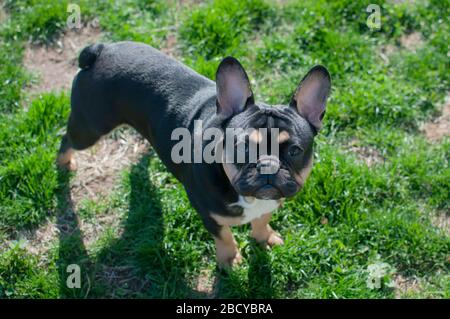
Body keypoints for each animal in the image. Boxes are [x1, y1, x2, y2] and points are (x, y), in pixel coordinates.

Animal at [58, 42, 330, 268]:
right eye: (243, 147)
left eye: (294, 150)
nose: (268, 166)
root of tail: (100, 50)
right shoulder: (208, 215)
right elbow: (224, 236)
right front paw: (230, 259)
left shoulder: (269, 202)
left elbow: (262, 220)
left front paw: (265, 238)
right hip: (90, 128)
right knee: (67, 139)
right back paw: (64, 163)